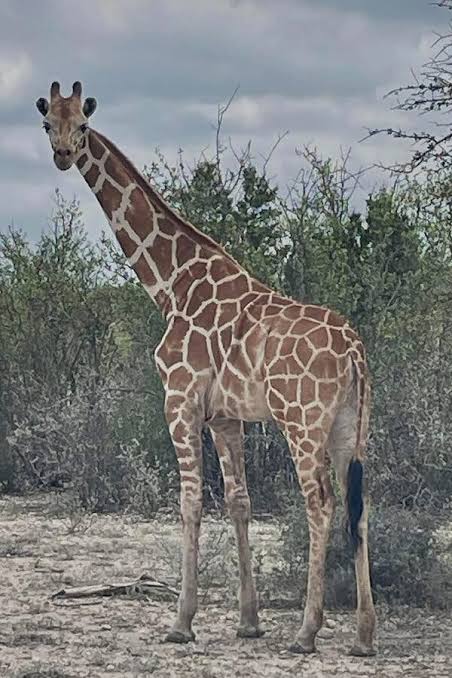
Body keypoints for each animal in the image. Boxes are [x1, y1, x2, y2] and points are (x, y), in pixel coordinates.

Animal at [35, 82, 376, 656]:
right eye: (47, 124)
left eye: (82, 124)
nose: (61, 155)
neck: (171, 284)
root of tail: (354, 350)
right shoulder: (225, 415)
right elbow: (239, 501)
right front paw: (248, 620)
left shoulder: (179, 399)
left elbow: (191, 500)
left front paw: (181, 622)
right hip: (351, 426)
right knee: (360, 503)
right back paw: (364, 636)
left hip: (302, 421)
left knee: (321, 503)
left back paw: (307, 632)